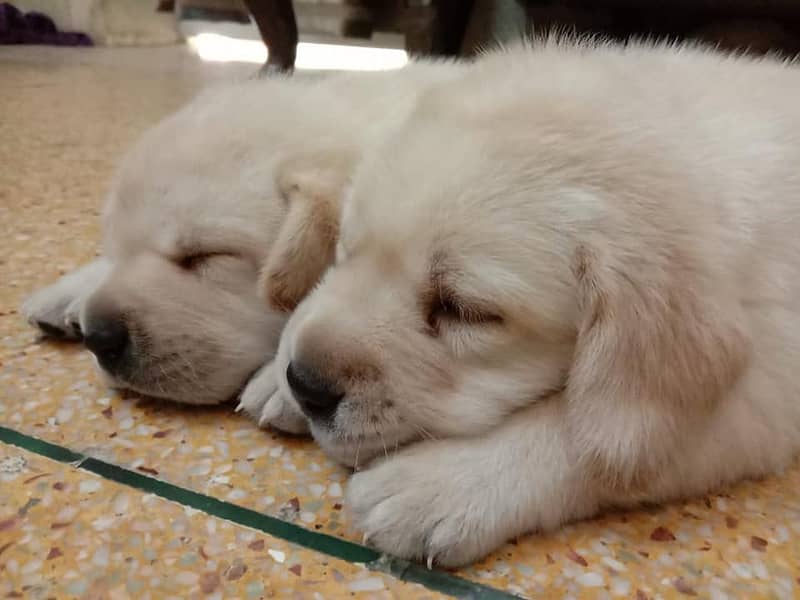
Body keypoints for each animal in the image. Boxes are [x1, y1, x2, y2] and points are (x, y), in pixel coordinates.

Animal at [278, 41, 800, 568]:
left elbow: (595, 438)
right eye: (347, 249)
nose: (305, 385)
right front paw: (274, 381)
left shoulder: (768, 386)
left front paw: (441, 483)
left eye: (466, 311)